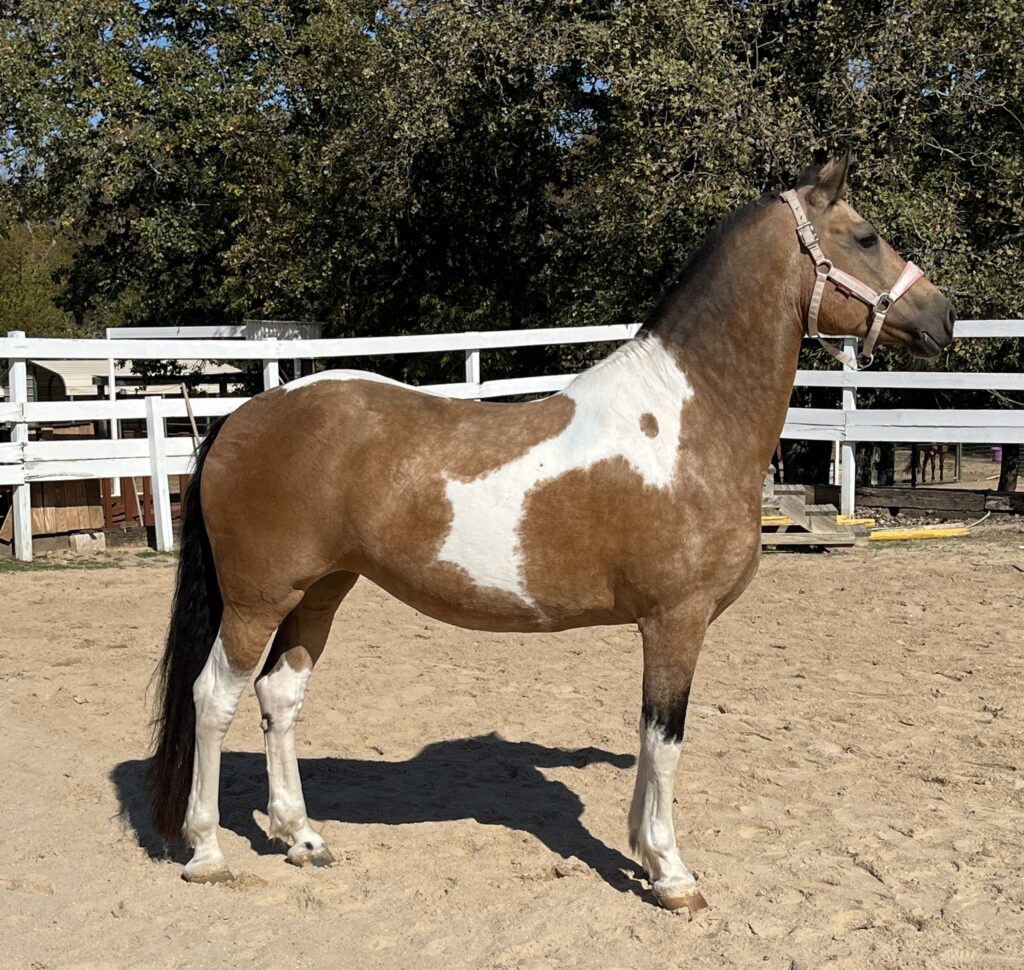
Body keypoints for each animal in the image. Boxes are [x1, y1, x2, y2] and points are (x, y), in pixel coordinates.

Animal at [148, 156, 954, 913]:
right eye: (866, 237)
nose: (945, 317)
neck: (688, 420)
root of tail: (243, 415)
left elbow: (650, 735)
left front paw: (643, 852)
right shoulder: (676, 620)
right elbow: (666, 739)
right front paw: (671, 874)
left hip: (320, 590)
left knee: (280, 696)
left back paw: (301, 837)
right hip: (258, 600)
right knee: (213, 697)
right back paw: (207, 853)